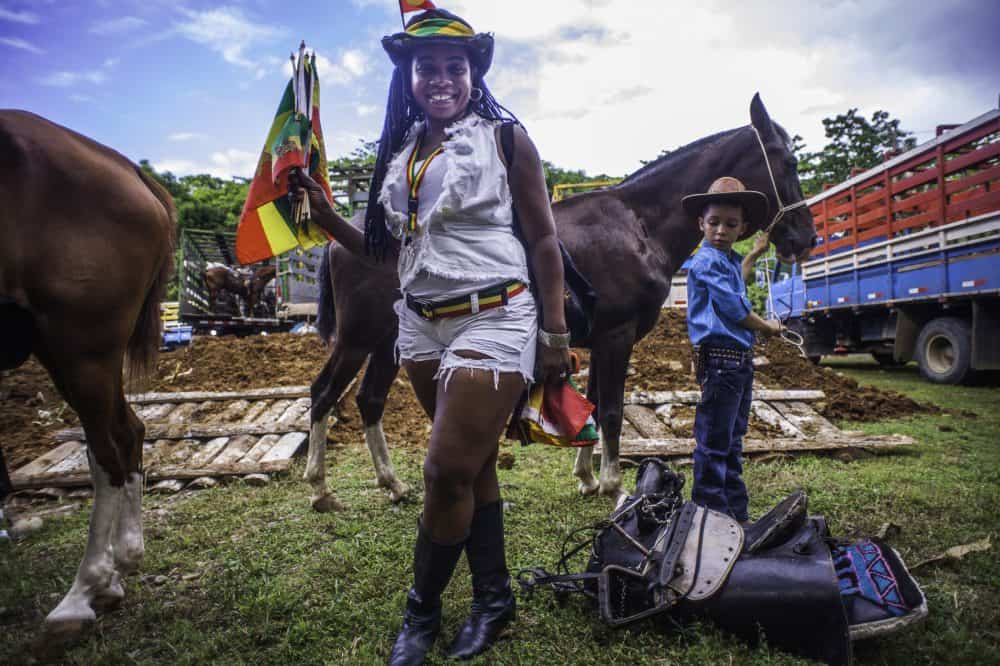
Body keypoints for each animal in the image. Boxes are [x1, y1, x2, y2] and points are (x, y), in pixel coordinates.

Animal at [0, 110, 175, 640]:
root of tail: (129, 169)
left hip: (80, 340)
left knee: (108, 449)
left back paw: (86, 589)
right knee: (126, 433)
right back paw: (120, 564)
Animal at [300, 93, 816, 508]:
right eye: (789, 163)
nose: (805, 238)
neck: (639, 224)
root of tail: (348, 238)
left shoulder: (601, 339)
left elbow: (595, 402)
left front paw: (587, 476)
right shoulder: (617, 336)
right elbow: (611, 409)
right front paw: (612, 484)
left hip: (390, 342)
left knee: (368, 400)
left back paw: (391, 484)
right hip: (357, 339)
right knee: (323, 393)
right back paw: (321, 488)